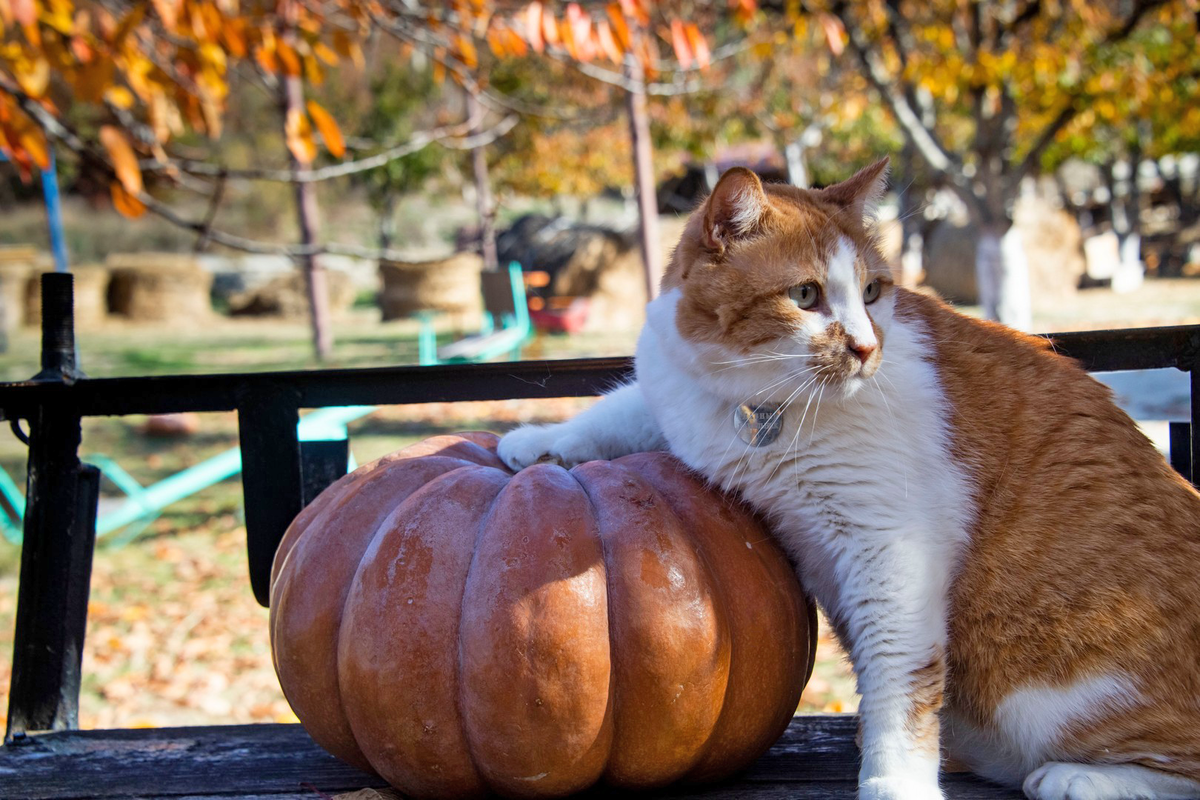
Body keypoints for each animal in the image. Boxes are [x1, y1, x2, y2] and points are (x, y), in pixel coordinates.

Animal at [496, 159, 1200, 796]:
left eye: (872, 293)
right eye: (805, 295)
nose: (866, 348)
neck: (762, 407)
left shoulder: (890, 551)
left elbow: (898, 681)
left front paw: (894, 784)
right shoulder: (677, 397)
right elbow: (623, 407)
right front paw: (537, 443)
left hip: (1053, 696)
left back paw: (1078, 778)